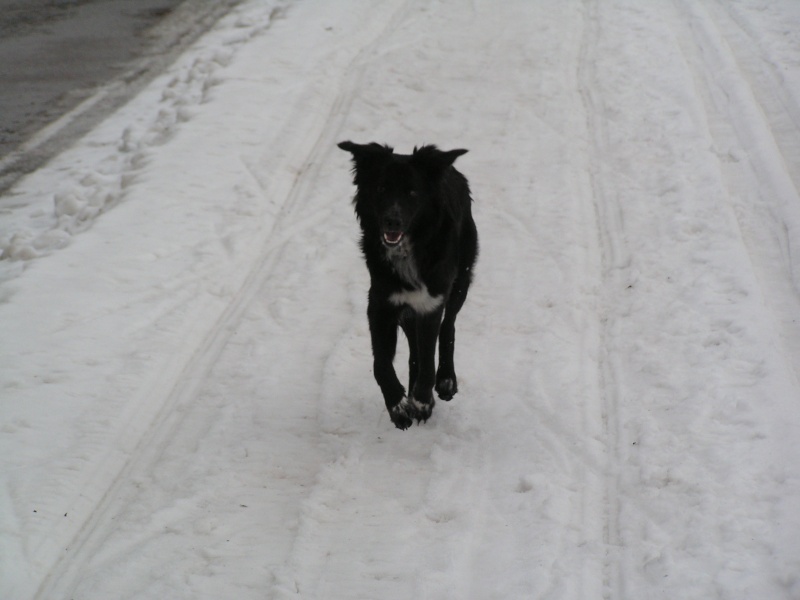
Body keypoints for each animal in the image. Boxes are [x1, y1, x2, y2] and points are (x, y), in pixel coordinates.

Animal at [340, 142, 482, 428]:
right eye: (381, 188)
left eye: (413, 192)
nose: (392, 221)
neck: (407, 250)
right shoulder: (381, 303)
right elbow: (381, 364)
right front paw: (398, 404)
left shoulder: (430, 303)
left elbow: (428, 359)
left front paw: (422, 400)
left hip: (460, 282)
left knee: (448, 326)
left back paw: (445, 380)